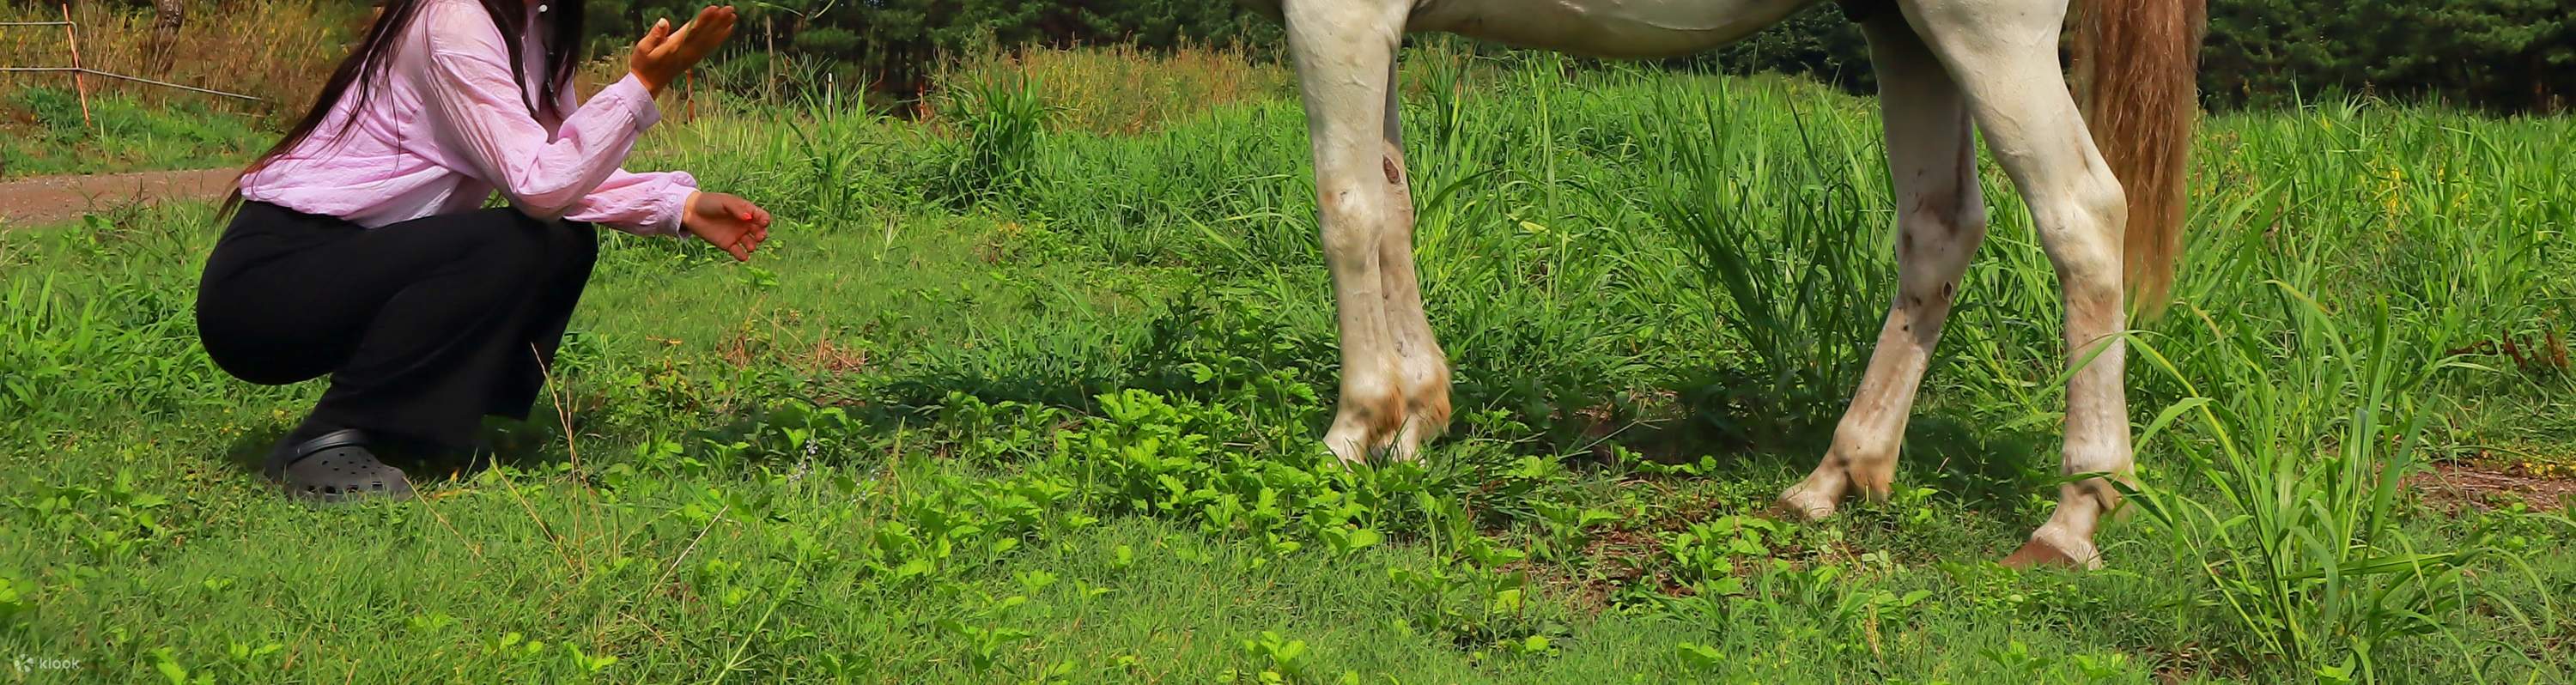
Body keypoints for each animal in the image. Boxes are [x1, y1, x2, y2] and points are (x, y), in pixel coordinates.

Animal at [1236, 0, 2206, 568]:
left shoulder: (1337, 13)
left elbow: (1347, 210)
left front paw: (1352, 432)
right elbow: (1394, 205)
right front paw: (1417, 421)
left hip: (1989, 32)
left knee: (2083, 216)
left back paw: (2072, 518)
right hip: (1905, 31)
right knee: (1940, 230)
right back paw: (1833, 479)